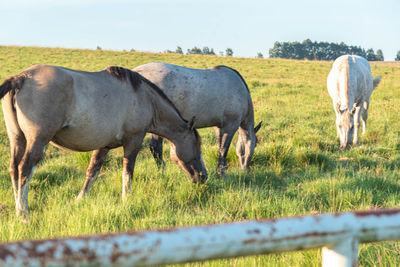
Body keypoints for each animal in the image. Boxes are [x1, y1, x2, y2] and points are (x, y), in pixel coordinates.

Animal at [0, 65, 206, 220]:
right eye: (197, 146)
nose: (203, 177)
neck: (145, 98)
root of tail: (21, 78)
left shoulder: (103, 146)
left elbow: (92, 171)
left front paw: (80, 199)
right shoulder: (133, 141)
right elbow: (127, 172)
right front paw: (126, 200)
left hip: (18, 139)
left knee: (14, 169)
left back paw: (18, 206)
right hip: (37, 141)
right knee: (24, 169)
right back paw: (23, 212)